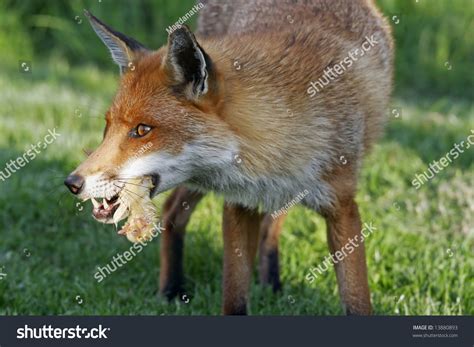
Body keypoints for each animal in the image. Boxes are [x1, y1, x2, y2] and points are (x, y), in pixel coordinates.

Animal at [65, 0, 394, 316]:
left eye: (142, 130)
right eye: (107, 127)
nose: (72, 183)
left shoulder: (342, 207)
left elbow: (357, 299)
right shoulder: (238, 204)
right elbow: (234, 298)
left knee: (269, 227)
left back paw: (271, 284)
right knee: (172, 213)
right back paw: (171, 289)